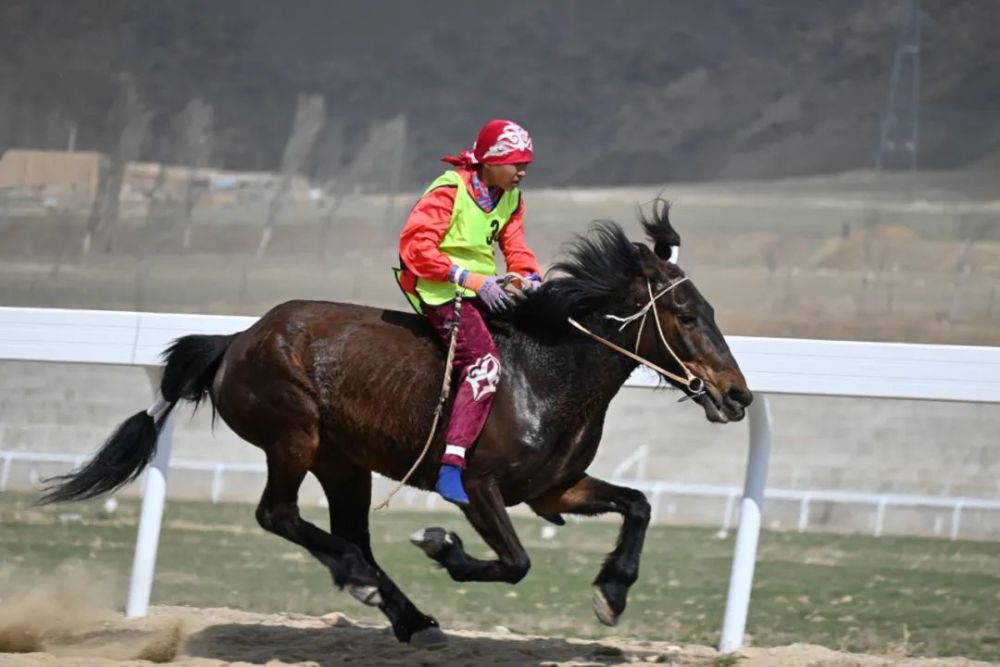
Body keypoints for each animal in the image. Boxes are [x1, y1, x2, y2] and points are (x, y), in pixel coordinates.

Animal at [43, 201, 752, 648]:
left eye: (712, 310)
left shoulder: (554, 487)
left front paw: (612, 592)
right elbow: (515, 561)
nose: (738, 394)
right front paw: (443, 548)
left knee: (348, 533)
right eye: (687, 315)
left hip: (343, 463)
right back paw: (364, 583)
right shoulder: (476, 485)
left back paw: (407, 615)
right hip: (292, 434)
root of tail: (238, 339)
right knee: (279, 515)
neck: (547, 374)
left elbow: (638, 505)